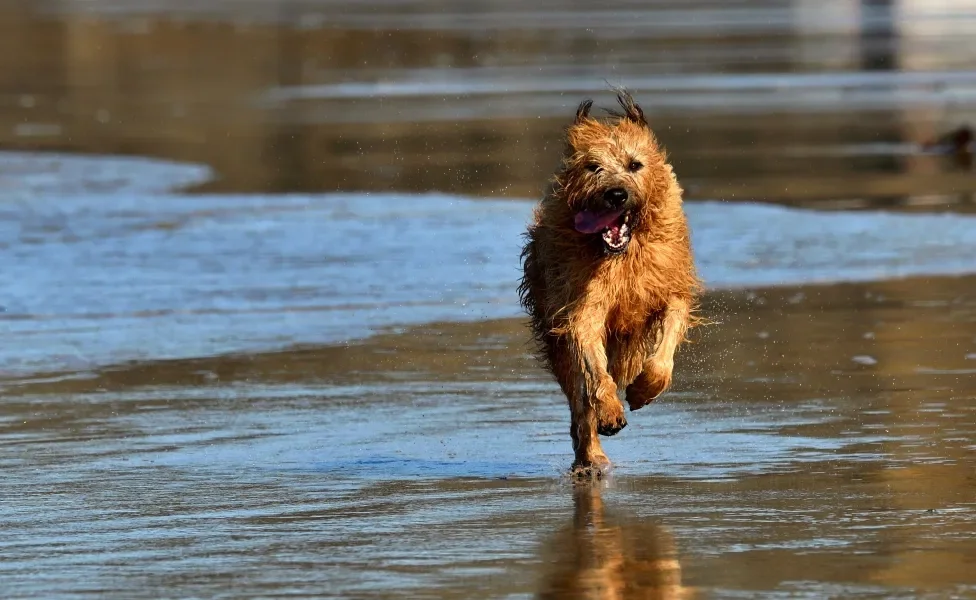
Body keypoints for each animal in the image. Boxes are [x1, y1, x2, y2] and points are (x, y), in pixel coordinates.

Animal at [524, 91, 696, 476]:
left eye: (635, 165)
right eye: (593, 167)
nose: (616, 194)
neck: (622, 256)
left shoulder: (671, 289)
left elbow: (665, 347)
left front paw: (644, 390)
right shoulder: (580, 305)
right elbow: (592, 369)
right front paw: (609, 411)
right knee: (579, 398)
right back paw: (591, 455)